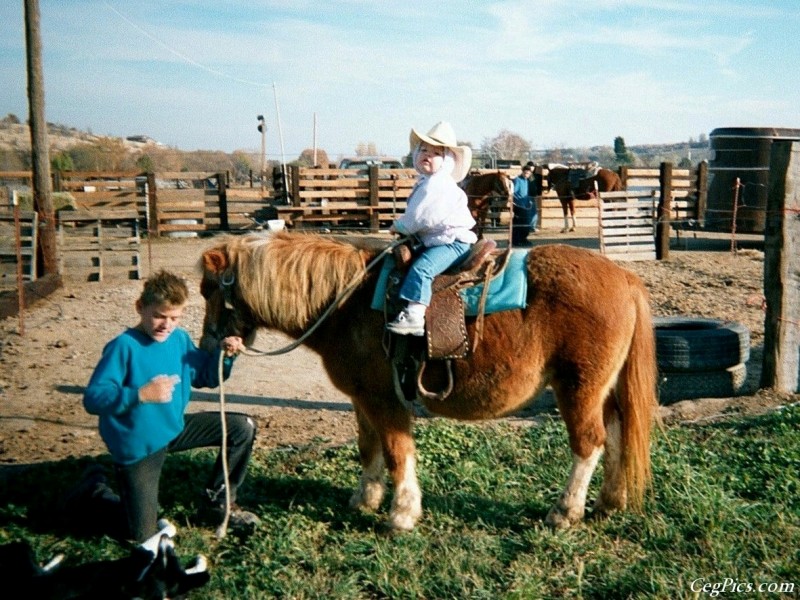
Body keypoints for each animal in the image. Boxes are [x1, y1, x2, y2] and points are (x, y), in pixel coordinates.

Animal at [198, 232, 656, 532]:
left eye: (208, 290)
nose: (208, 352)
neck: (346, 303)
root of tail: (624, 279)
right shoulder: (363, 399)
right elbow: (368, 448)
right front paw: (365, 499)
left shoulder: (386, 401)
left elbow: (397, 452)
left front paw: (402, 514)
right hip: (602, 390)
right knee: (616, 431)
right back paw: (609, 503)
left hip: (577, 389)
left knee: (589, 442)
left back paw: (565, 512)